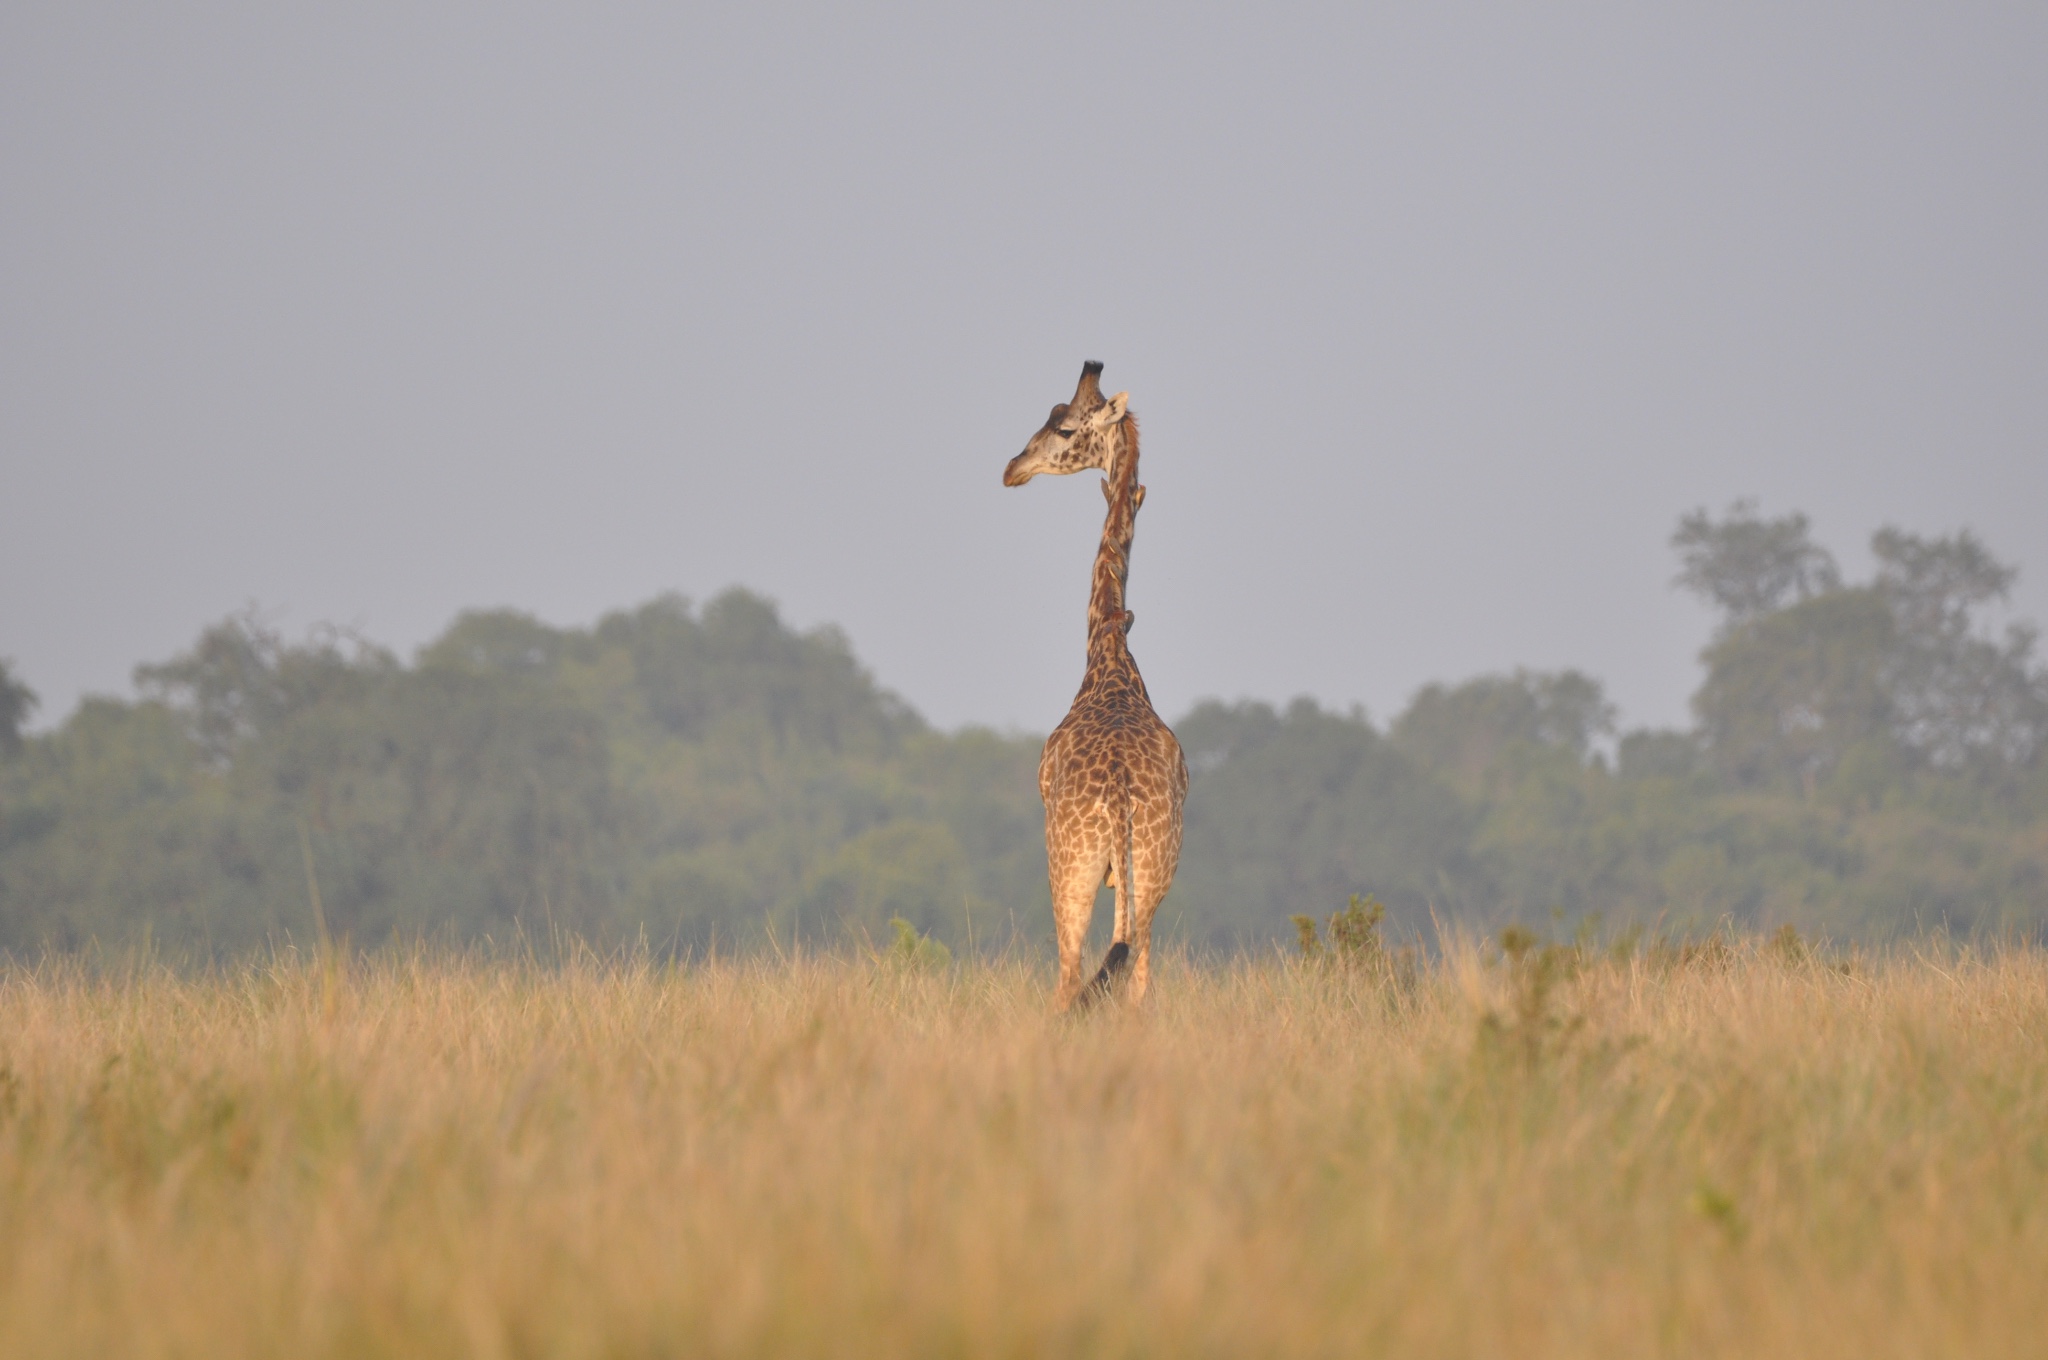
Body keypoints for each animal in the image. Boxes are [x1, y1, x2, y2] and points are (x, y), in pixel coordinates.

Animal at [1003, 360, 1196, 1007]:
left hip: (1069, 868)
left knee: (1068, 979)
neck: (1109, 644)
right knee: (1136, 980)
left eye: (1063, 428)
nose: (1012, 468)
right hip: (1152, 872)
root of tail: (1115, 795)